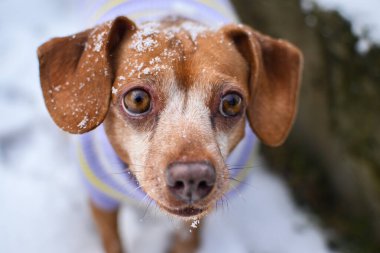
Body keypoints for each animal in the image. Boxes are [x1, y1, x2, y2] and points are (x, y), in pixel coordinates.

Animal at [36, 0, 302, 253]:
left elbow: (187, 239)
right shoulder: (101, 201)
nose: (192, 177)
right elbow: (113, 242)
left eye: (232, 102)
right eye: (137, 99)